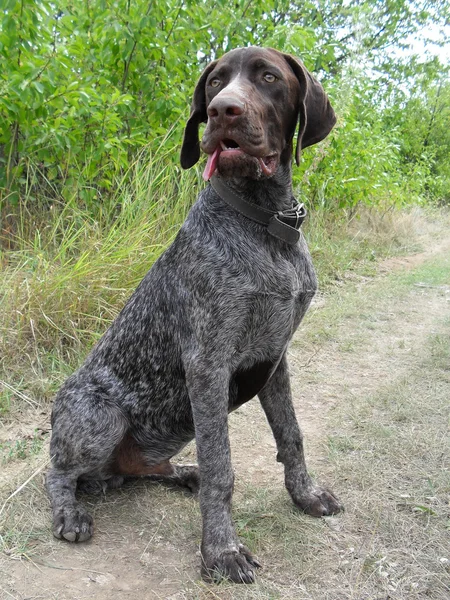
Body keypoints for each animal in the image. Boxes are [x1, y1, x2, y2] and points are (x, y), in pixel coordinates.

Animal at [46, 45, 342, 580]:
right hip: (100, 416)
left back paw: (184, 473)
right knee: (57, 472)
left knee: (142, 471)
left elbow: (291, 435)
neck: (266, 224)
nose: (224, 111)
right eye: (215, 83)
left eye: (269, 77)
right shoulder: (208, 365)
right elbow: (224, 469)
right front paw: (221, 551)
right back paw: (70, 512)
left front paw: (305, 496)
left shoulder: (274, 359)